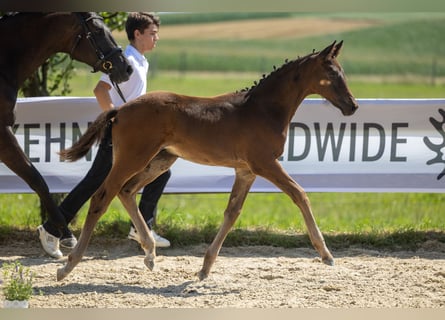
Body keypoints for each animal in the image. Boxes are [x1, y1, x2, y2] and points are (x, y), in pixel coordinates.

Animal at [57, 41, 360, 282]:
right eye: (332, 73)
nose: (352, 105)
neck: (263, 110)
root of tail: (119, 110)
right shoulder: (264, 164)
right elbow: (300, 194)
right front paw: (326, 254)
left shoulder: (245, 171)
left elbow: (232, 212)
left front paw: (204, 269)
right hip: (134, 157)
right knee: (103, 196)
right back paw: (68, 266)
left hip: (161, 159)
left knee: (127, 191)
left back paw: (150, 255)